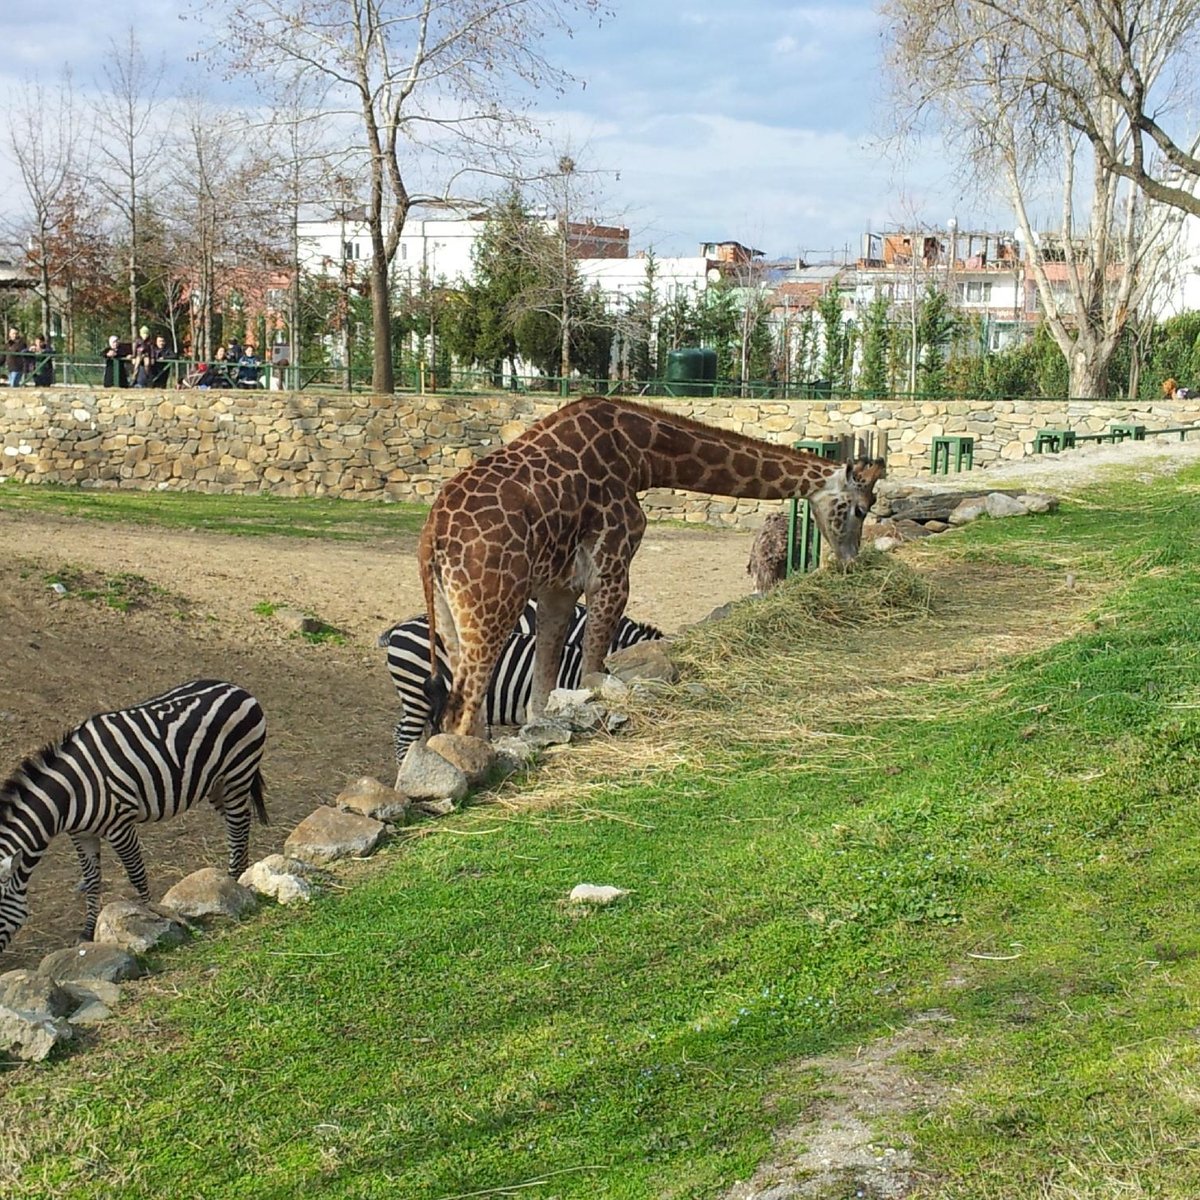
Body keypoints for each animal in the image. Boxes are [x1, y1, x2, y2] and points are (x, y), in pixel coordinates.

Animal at [0, 681, 267, 950]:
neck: (71, 794)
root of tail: (237, 688)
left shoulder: (120, 826)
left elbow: (136, 874)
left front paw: (153, 918)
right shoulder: (81, 834)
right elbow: (92, 880)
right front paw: (87, 931)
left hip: (237, 773)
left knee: (237, 826)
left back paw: (233, 879)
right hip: (216, 784)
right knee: (240, 822)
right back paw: (237, 879)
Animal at [417, 398, 888, 739]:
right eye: (861, 509)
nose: (852, 563)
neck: (642, 456)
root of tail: (431, 537)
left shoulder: (559, 586)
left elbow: (542, 695)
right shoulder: (611, 570)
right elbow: (591, 673)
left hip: (450, 615)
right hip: (492, 606)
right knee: (461, 709)